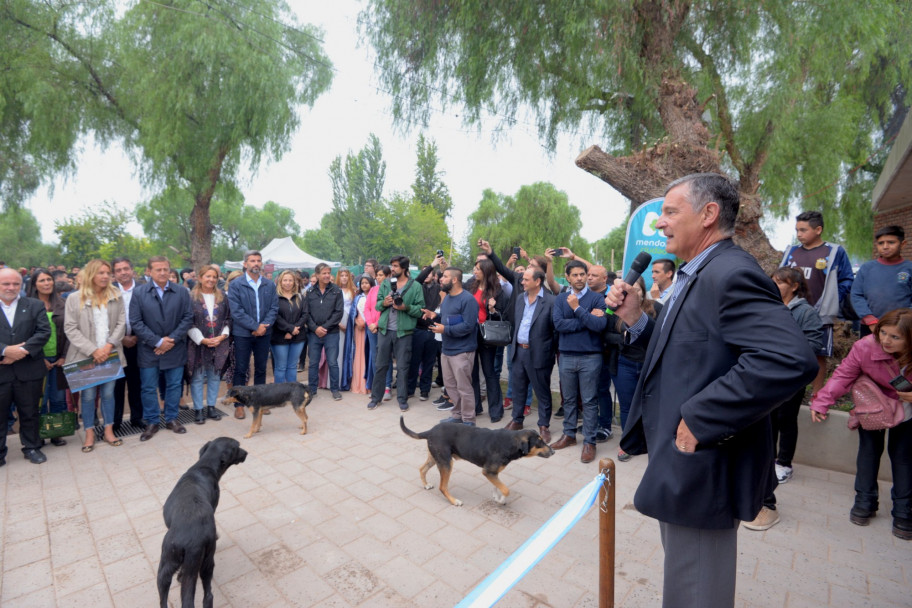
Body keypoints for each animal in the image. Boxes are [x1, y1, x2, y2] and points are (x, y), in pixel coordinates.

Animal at [158, 436, 248, 604]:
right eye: (238, 446)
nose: (247, 453)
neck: (204, 467)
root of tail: (190, 543)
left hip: (166, 567)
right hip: (205, 561)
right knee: (207, 596)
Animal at [400, 416, 556, 506]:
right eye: (539, 442)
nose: (553, 451)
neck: (510, 442)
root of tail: (430, 431)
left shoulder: (492, 472)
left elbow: (497, 485)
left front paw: (496, 496)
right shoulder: (488, 471)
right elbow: (506, 489)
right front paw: (500, 500)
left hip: (436, 458)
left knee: (422, 469)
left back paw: (426, 485)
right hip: (446, 463)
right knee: (442, 487)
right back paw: (454, 501)